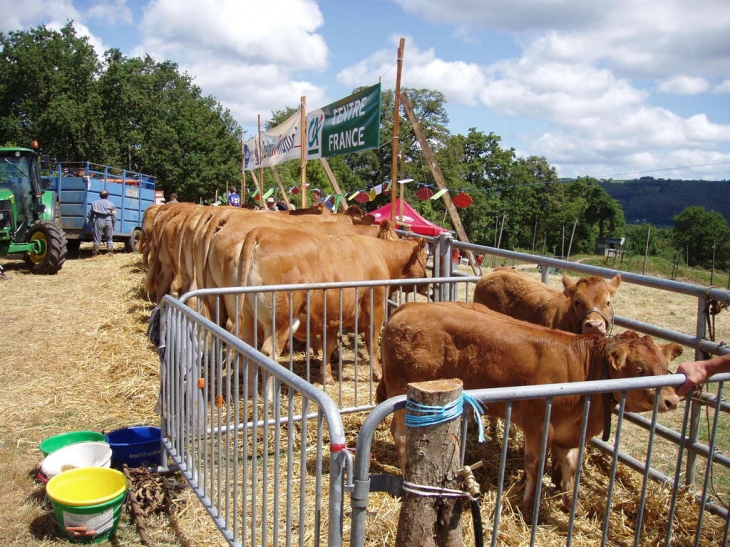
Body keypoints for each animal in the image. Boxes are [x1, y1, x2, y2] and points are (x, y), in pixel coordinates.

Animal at [236, 219, 426, 386]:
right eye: (426, 256)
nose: (427, 285)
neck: (380, 255)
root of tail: (262, 232)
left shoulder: (332, 316)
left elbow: (329, 345)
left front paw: (326, 376)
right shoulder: (376, 307)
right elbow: (372, 343)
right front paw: (377, 373)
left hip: (248, 317)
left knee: (248, 349)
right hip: (279, 321)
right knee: (269, 353)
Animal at [378, 302, 680, 524]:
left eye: (663, 366)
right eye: (639, 369)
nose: (672, 400)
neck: (584, 370)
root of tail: (408, 307)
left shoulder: (571, 433)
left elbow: (571, 468)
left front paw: (572, 506)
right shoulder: (539, 425)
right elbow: (535, 467)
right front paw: (528, 509)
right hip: (404, 393)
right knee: (400, 433)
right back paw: (406, 472)